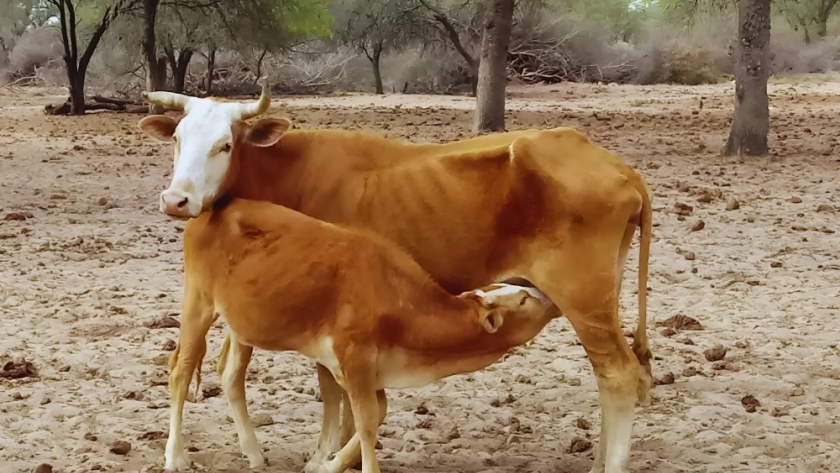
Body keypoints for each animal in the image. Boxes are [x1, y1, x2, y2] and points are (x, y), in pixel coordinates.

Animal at [166, 197, 564, 472]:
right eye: (523, 299)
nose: (550, 297)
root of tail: (211, 210)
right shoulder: (354, 358)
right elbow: (368, 421)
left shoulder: (369, 370)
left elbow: (377, 414)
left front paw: (326, 464)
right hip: (197, 303)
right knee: (180, 371)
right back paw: (176, 456)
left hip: (241, 324)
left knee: (230, 374)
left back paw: (253, 452)